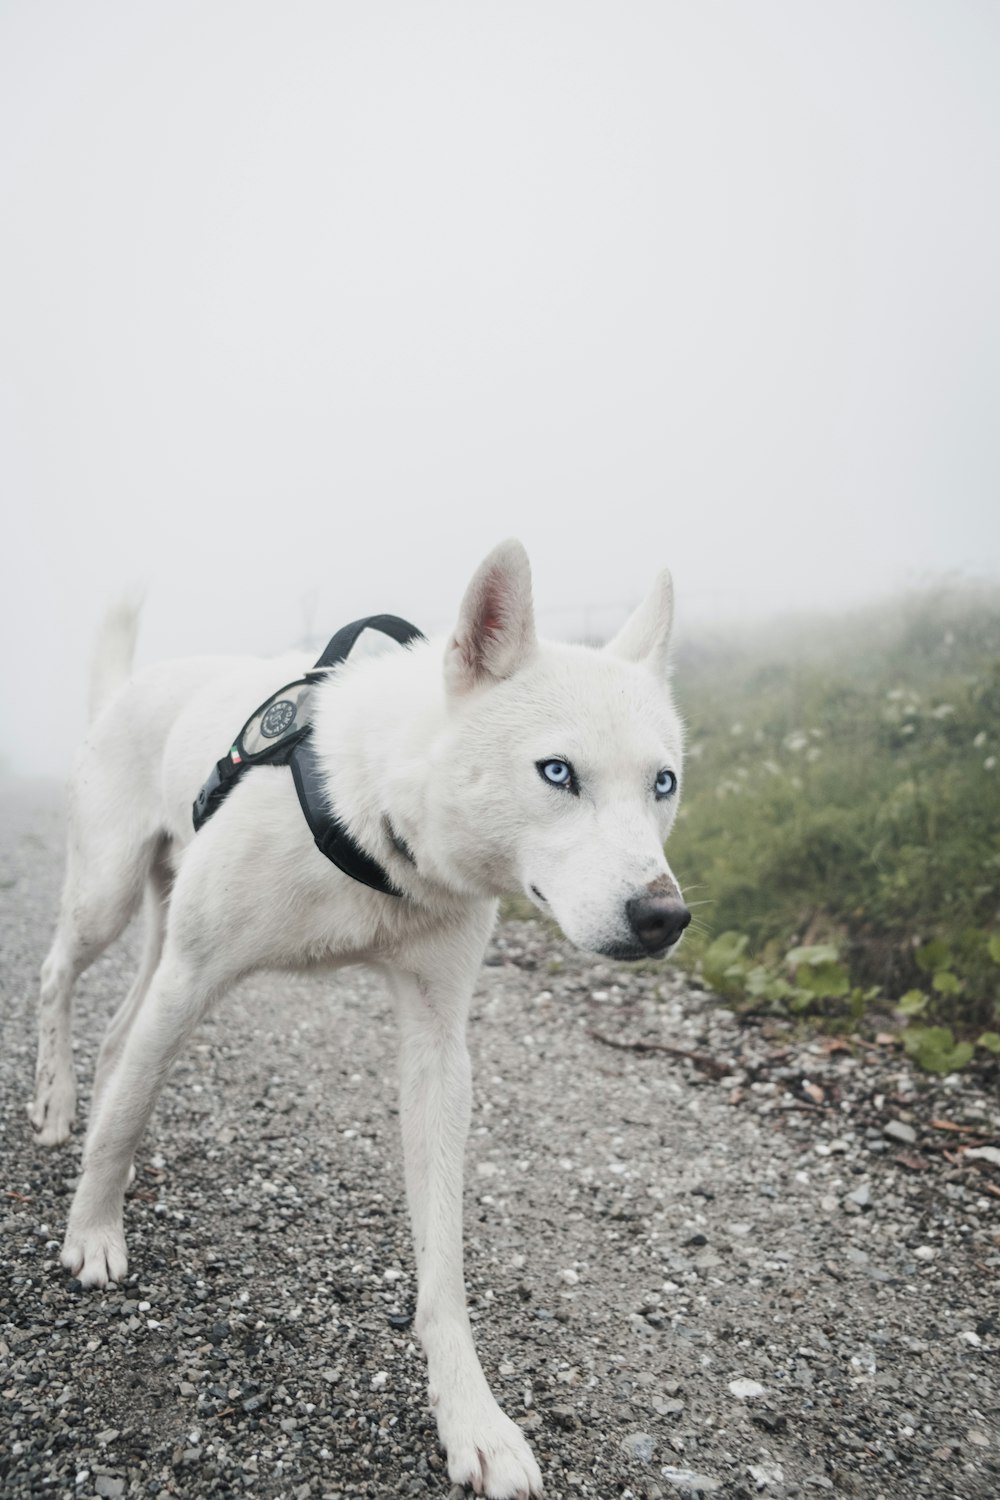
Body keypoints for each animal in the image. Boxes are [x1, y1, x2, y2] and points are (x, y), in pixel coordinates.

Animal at [29, 543, 689, 1500]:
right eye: (557, 772)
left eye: (663, 784)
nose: (664, 917)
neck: (376, 815)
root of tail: (133, 685)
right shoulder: (193, 977)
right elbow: (119, 1125)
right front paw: (91, 1233)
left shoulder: (437, 1047)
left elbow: (443, 1260)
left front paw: (470, 1415)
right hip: (108, 900)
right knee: (59, 982)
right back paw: (54, 1103)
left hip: (155, 935)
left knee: (121, 1037)